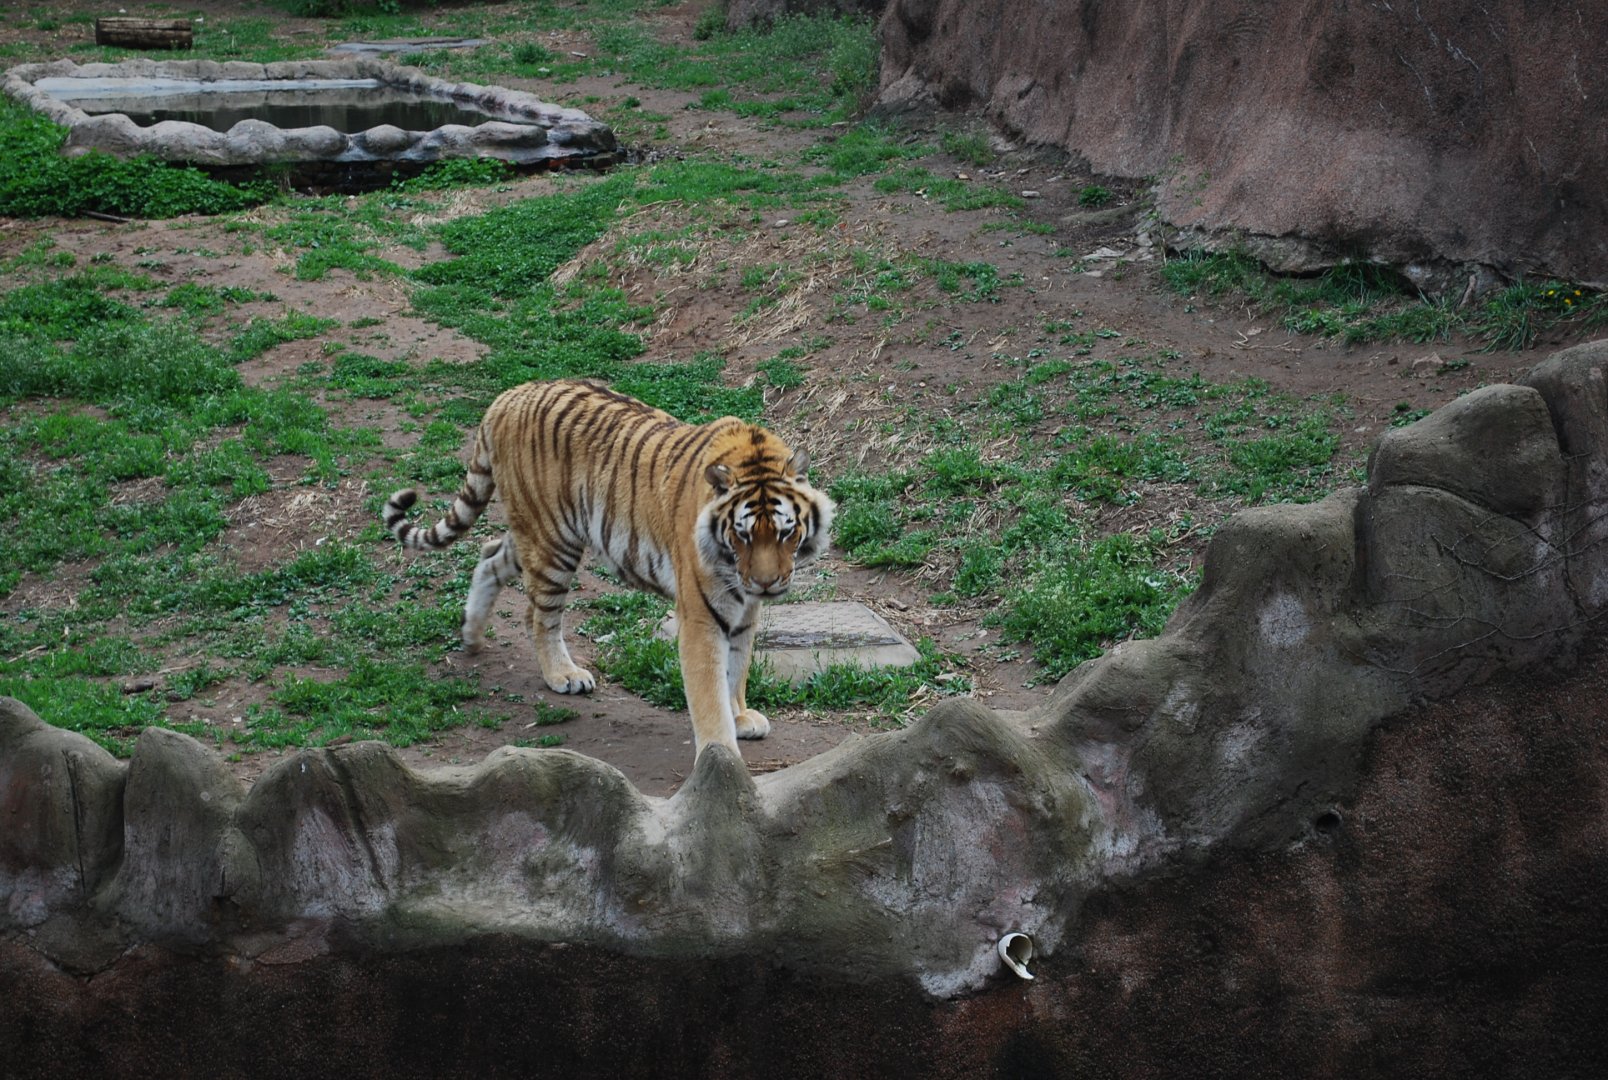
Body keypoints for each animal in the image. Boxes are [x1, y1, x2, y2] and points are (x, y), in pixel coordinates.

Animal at [383, 378, 834, 761]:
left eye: (785, 532)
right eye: (743, 534)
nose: (766, 584)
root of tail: (507, 396)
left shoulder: (744, 610)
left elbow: (737, 668)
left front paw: (739, 715)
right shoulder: (702, 615)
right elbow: (709, 687)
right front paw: (720, 754)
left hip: (535, 531)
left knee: (490, 552)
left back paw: (472, 635)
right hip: (554, 541)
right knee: (538, 615)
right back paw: (563, 674)